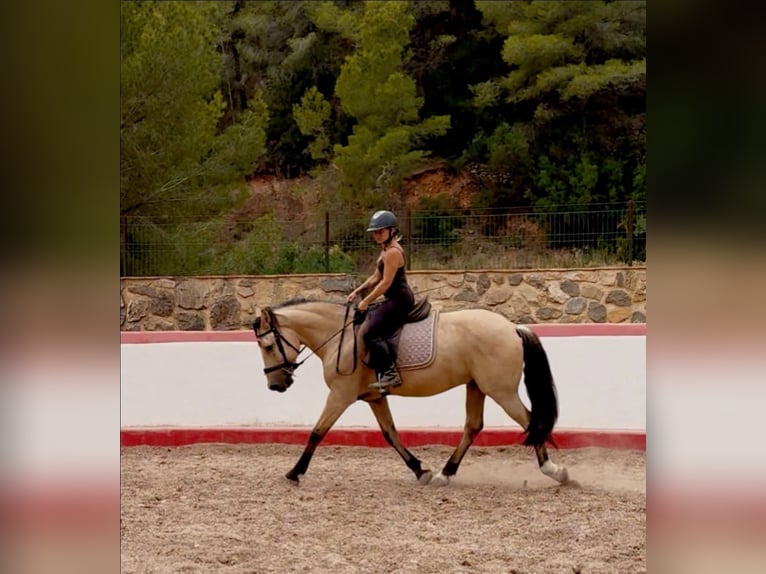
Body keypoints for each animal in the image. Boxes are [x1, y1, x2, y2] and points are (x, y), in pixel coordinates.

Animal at [252, 298, 569, 486]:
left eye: (267, 346)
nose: (275, 385)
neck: (340, 339)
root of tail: (512, 328)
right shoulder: (375, 398)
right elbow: (390, 434)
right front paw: (419, 469)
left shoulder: (340, 396)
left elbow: (317, 432)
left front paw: (294, 472)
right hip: (476, 386)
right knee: (473, 426)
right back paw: (445, 473)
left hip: (500, 391)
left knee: (531, 422)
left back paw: (554, 471)